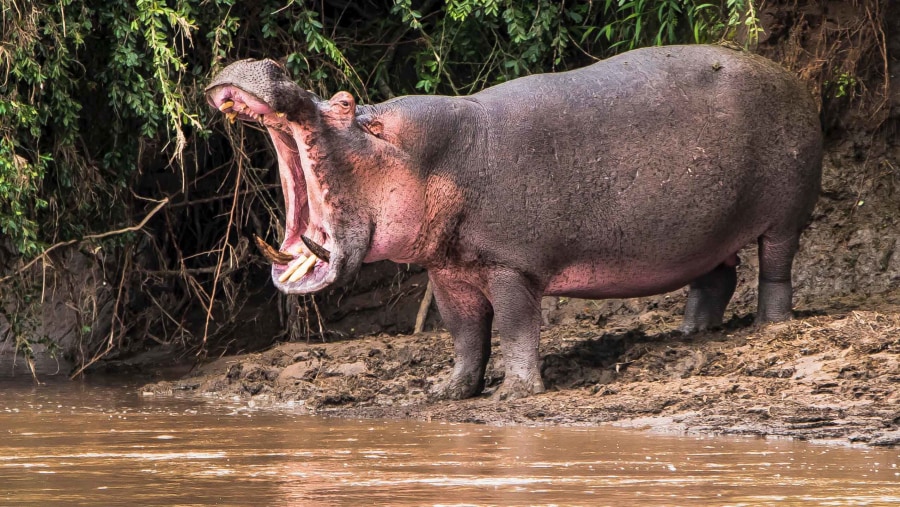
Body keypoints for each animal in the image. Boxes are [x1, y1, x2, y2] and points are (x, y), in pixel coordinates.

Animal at [206, 44, 824, 400]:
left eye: (343, 102)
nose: (268, 62)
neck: (432, 154)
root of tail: (792, 76)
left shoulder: (510, 266)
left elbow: (514, 325)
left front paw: (517, 393)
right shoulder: (448, 272)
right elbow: (464, 335)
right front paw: (445, 392)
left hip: (785, 215)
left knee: (775, 268)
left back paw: (770, 325)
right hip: (704, 233)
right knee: (718, 276)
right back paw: (690, 333)